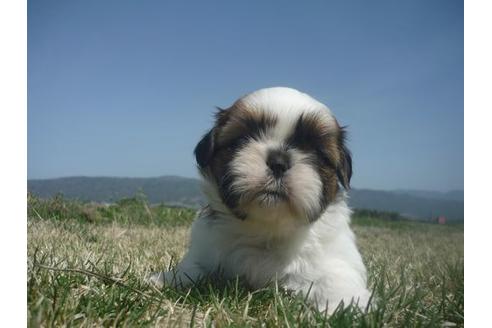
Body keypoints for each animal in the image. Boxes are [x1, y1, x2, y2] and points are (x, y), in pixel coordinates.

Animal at [149, 86, 368, 312]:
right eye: (243, 139)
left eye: (316, 152)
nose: (278, 162)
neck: (266, 231)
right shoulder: (206, 247)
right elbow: (194, 267)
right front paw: (169, 278)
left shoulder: (335, 255)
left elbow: (335, 278)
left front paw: (343, 306)